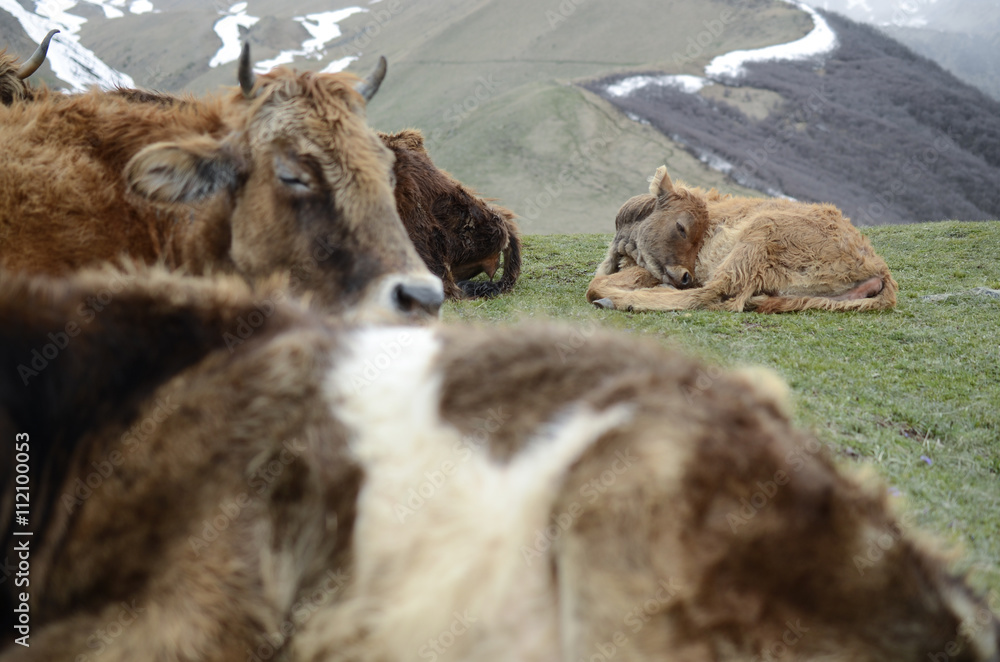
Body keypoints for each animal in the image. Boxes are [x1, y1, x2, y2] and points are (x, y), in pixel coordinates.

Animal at [588, 166, 898, 313]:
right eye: (682, 228)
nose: (685, 277)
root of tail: (876, 268)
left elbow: (596, 284)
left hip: (754, 242)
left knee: (705, 295)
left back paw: (618, 300)